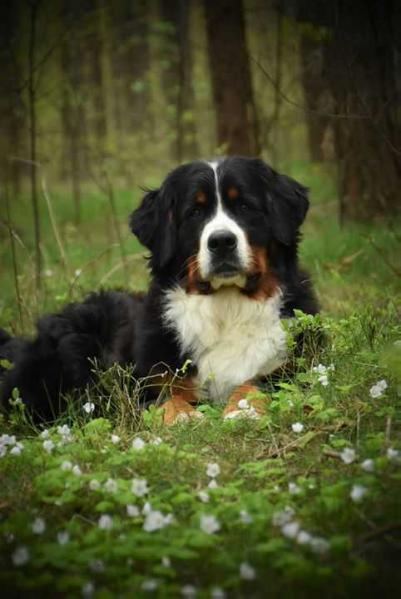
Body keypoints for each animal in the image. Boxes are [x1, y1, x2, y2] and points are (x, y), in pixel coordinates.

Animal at [0, 157, 318, 424]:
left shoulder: (292, 367)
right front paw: (183, 417)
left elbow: (257, 383)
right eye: (195, 212)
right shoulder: (145, 382)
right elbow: (167, 398)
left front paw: (244, 408)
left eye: (245, 207)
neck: (226, 308)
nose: (221, 242)